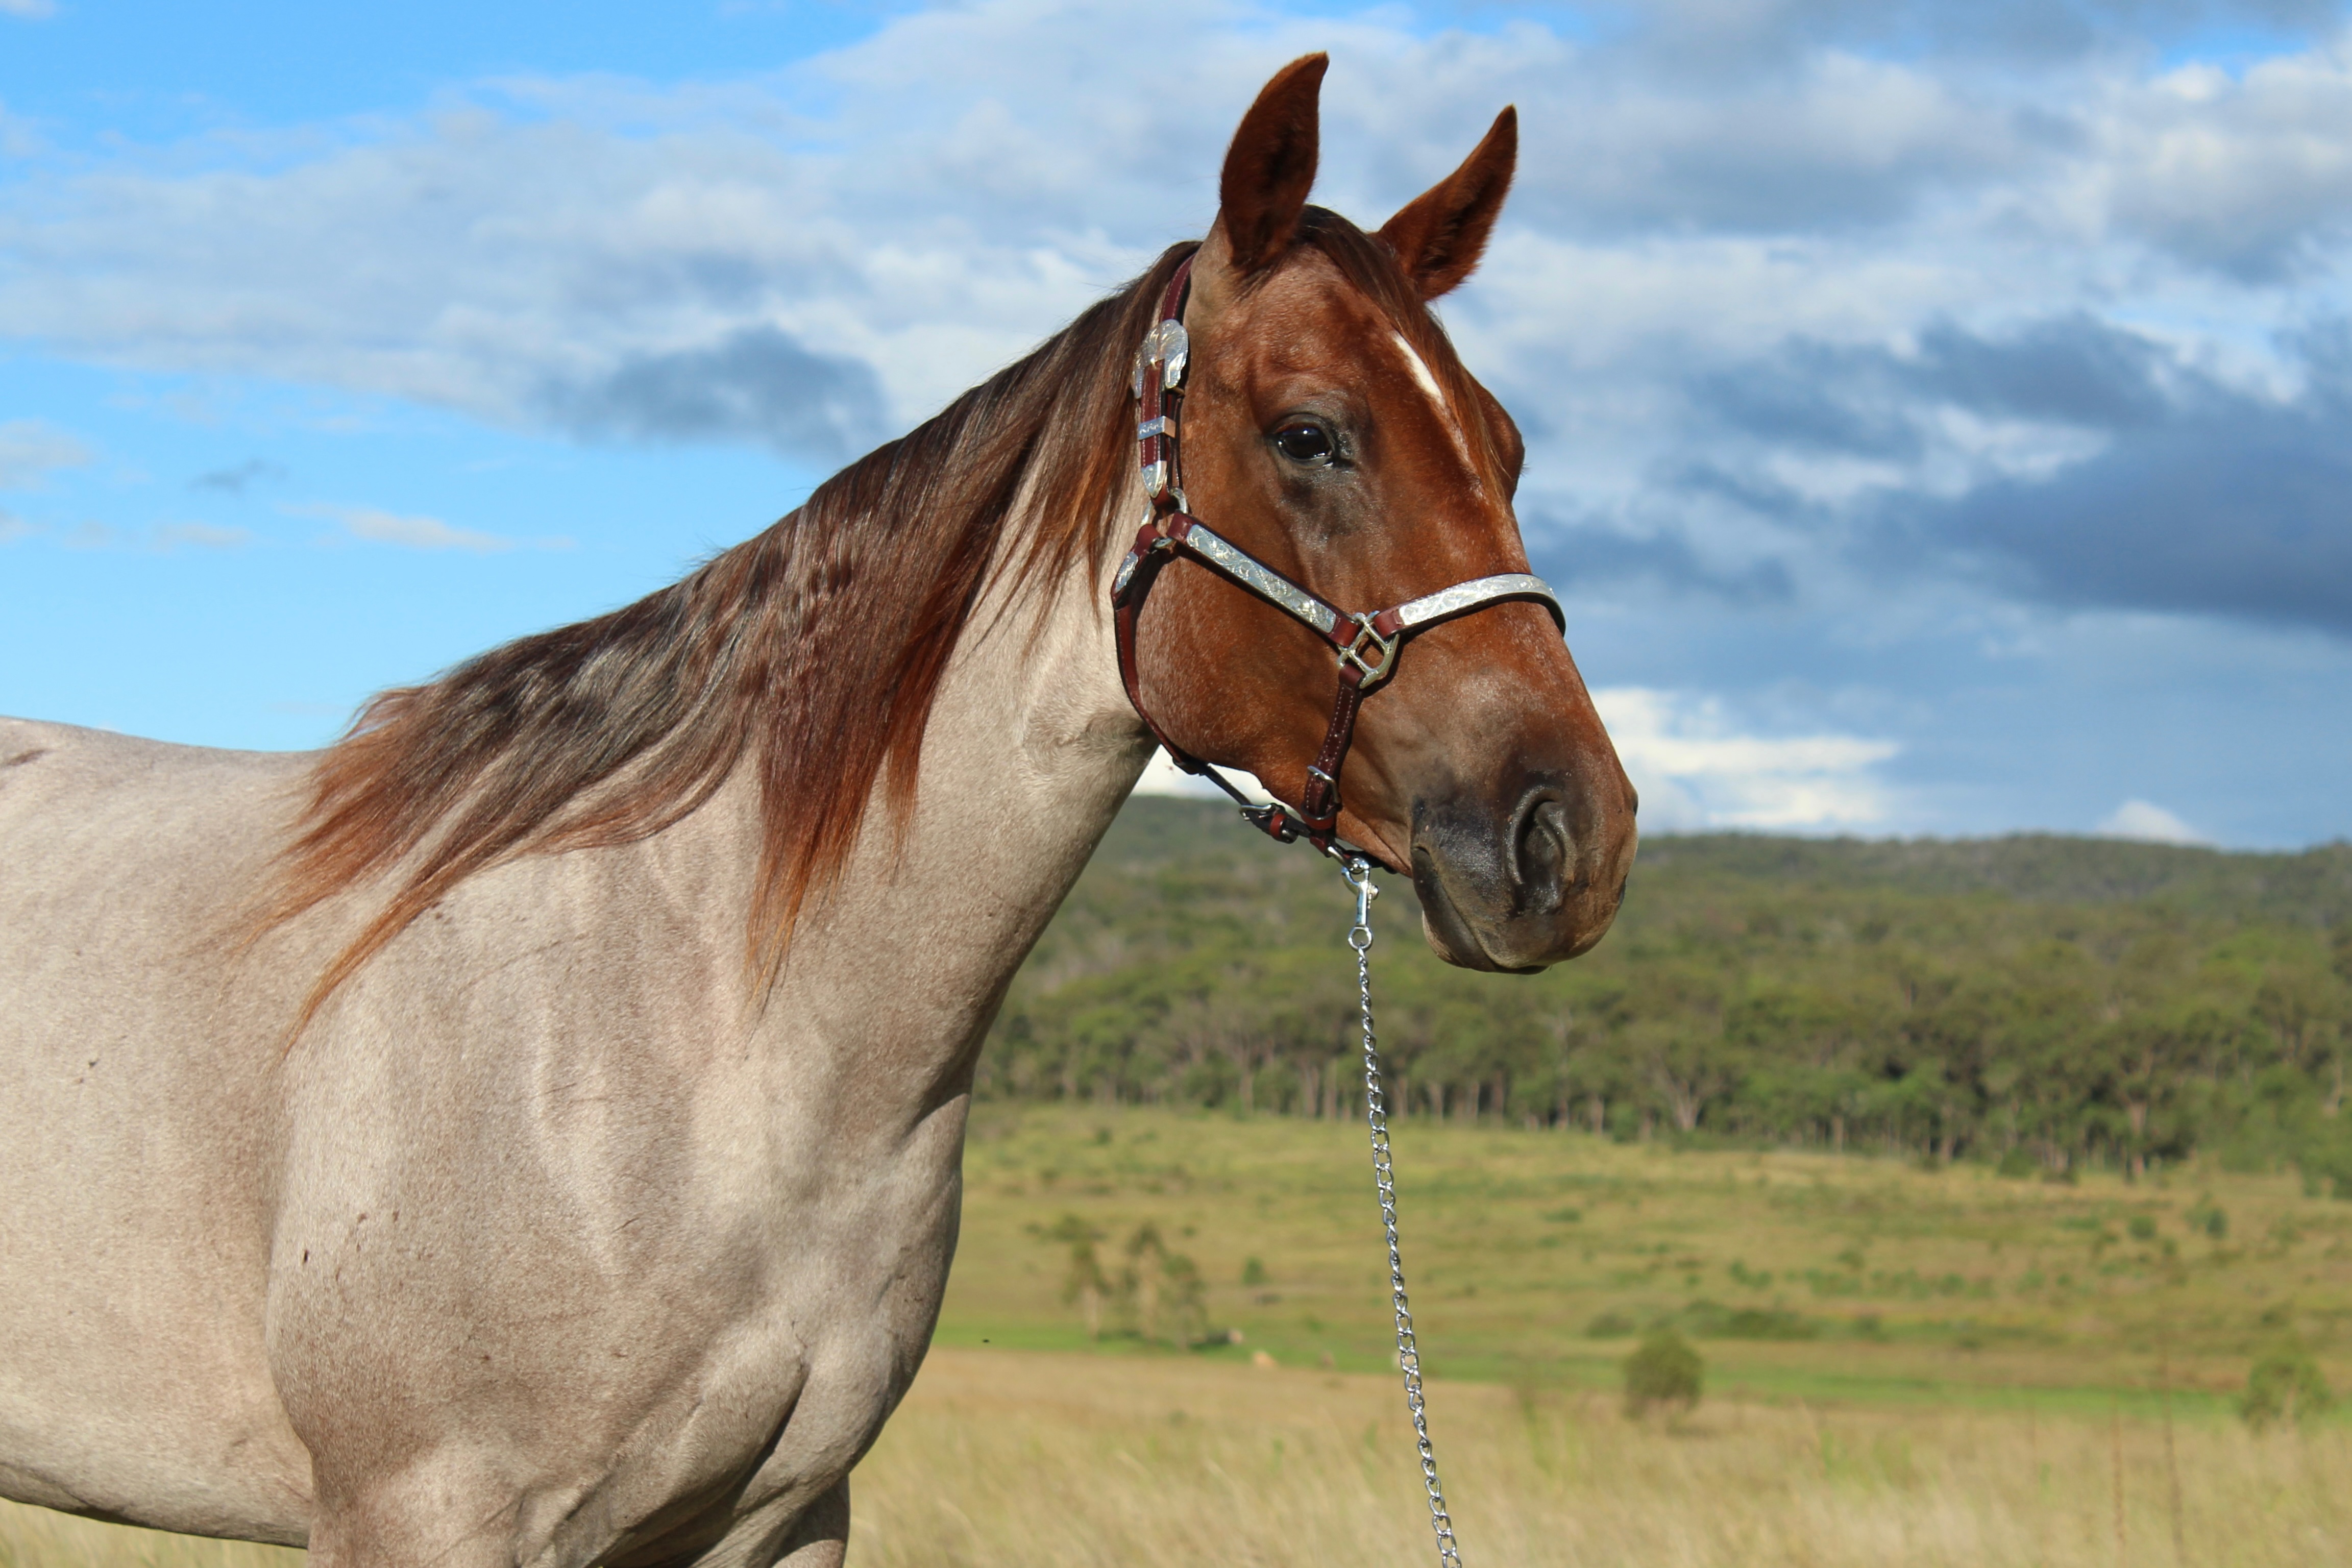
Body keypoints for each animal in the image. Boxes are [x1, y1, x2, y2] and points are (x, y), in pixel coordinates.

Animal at [0, 55, 1636, 1567]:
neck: (700, 1026)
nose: (1574, 840)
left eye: (1506, 443)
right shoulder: (426, 1515)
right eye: (1309, 434)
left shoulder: (778, 1519)